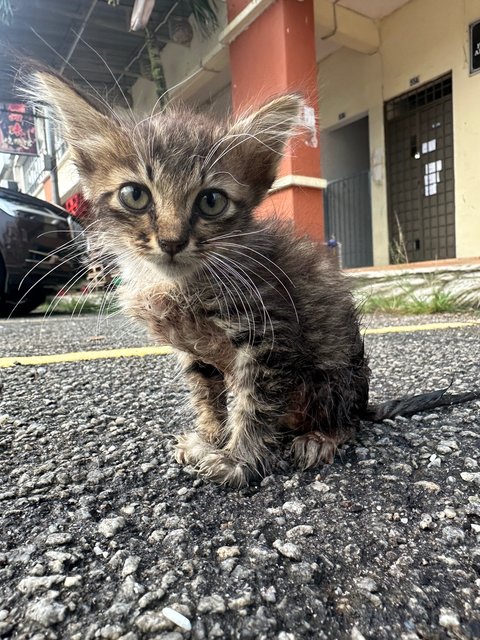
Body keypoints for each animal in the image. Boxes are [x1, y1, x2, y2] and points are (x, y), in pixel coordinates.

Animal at [27, 70, 480, 488]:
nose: (172, 241)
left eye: (211, 201)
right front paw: (210, 437)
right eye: (134, 195)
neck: (180, 283)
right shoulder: (196, 353)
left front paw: (237, 461)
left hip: (332, 372)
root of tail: (361, 400)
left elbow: (253, 404)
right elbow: (207, 396)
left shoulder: (269, 336)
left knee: (348, 422)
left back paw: (320, 437)